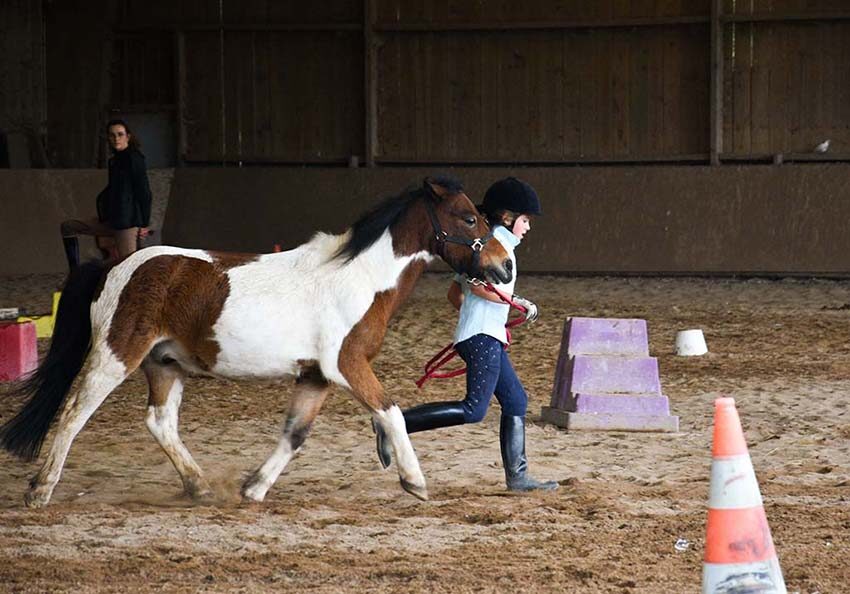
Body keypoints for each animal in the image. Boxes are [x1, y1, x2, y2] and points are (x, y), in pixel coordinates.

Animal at [0, 176, 510, 504]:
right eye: (468, 219)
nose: (504, 266)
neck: (357, 277)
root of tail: (116, 266)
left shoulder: (316, 376)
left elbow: (295, 434)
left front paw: (254, 488)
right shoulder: (346, 366)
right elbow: (392, 413)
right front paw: (416, 482)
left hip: (164, 363)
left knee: (160, 423)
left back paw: (200, 487)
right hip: (115, 355)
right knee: (73, 412)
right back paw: (41, 489)